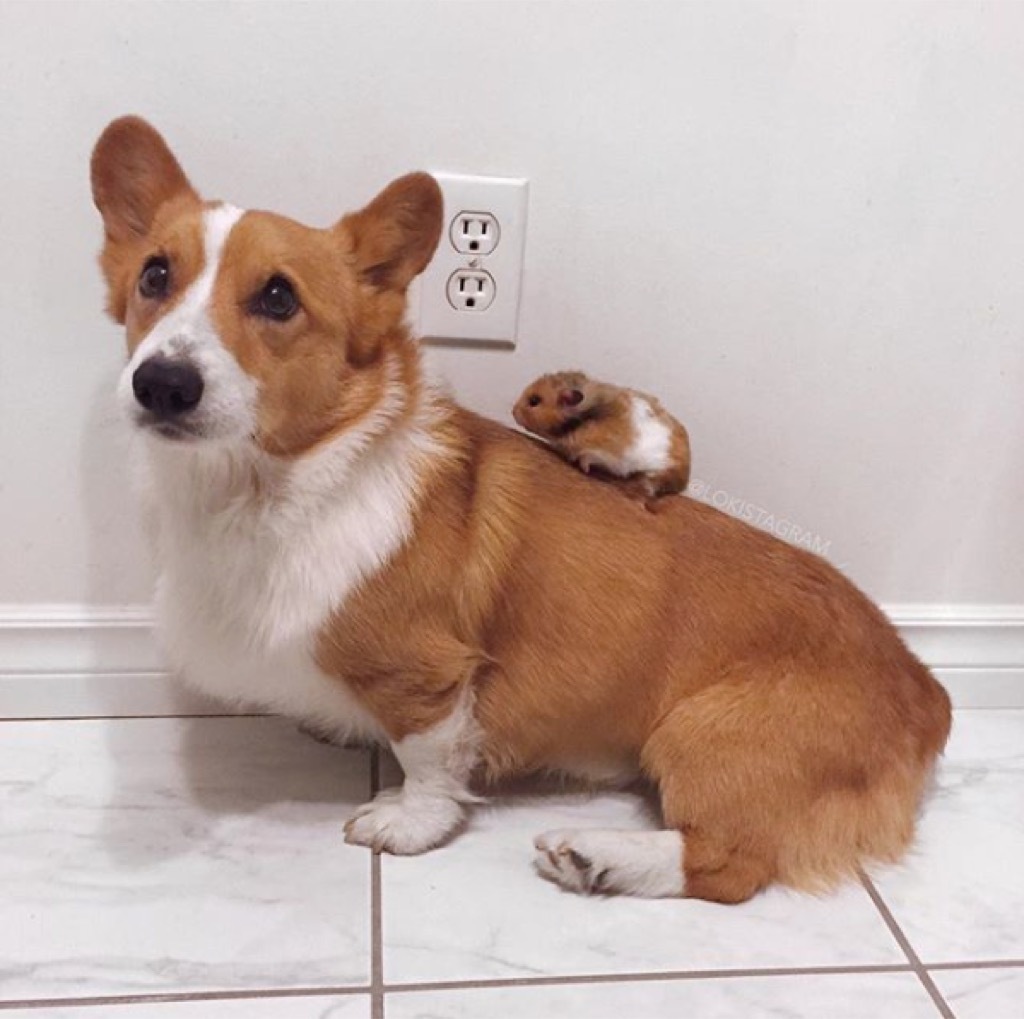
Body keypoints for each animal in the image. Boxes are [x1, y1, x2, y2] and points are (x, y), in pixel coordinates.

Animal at [516, 372, 692, 503]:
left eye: (534, 401)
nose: (513, 412)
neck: (584, 418)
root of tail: (684, 479)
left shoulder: (600, 451)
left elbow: (586, 458)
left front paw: (583, 469)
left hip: (654, 473)